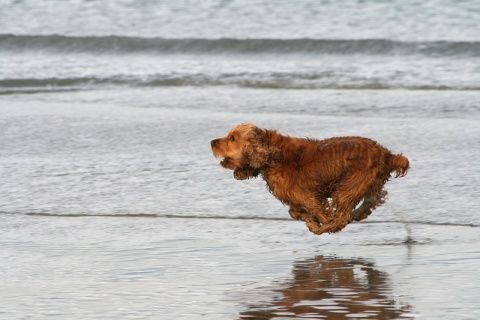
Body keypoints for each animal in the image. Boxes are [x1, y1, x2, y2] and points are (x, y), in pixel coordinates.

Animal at [210, 122, 408, 235]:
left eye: (232, 138)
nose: (212, 142)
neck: (273, 155)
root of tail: (387, 154)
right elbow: (294, 212)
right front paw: (309, 219)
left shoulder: (307, 195)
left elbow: (320, 212)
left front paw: (316, 223)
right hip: (369, 184)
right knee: (372, 201)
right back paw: (357, 214)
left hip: (348, 187)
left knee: (342, 218)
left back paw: (325, 229)